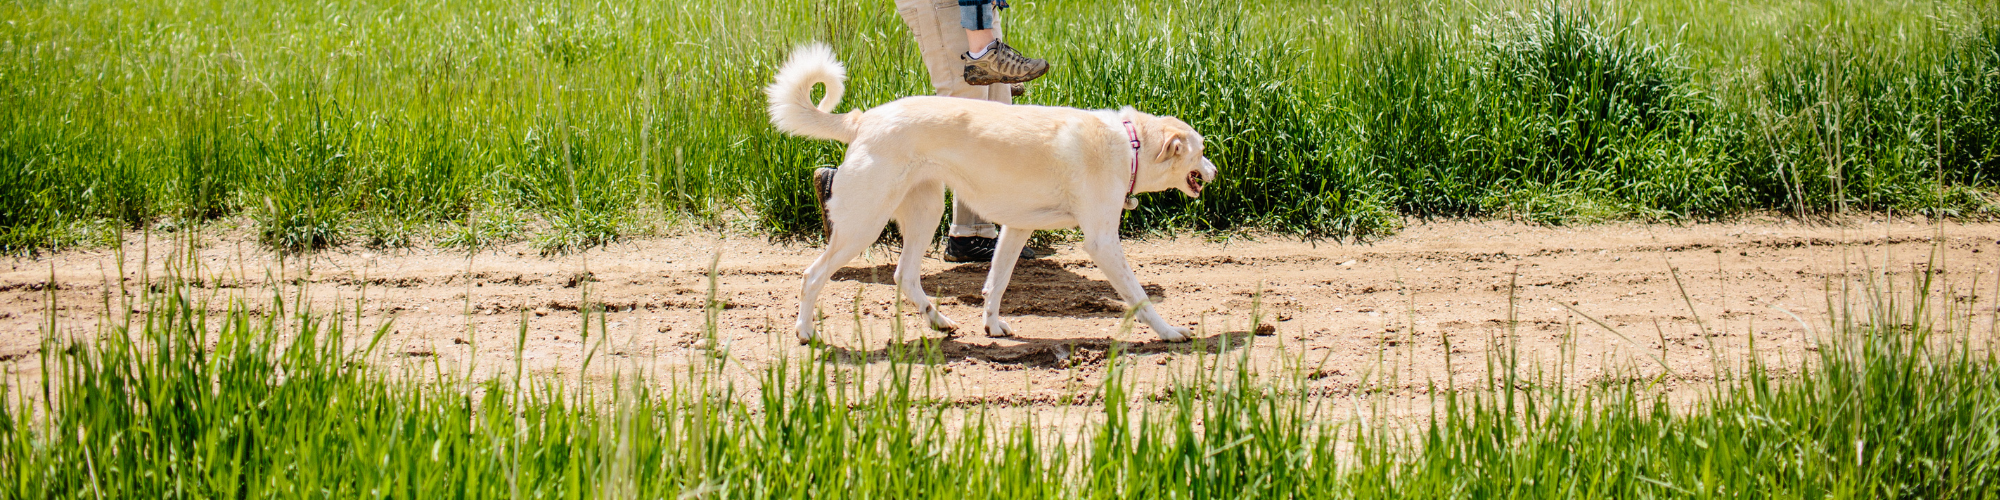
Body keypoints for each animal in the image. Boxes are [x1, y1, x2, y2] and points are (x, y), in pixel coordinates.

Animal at [768, 44, 1216, 344]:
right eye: (1201, 150)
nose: (1214, 171)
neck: (1129, 143)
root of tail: (863, 120)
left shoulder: (1016, 229)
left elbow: (996, 283)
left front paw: (992, 326)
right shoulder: (1102, 242)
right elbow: (1139, 296)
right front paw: (1169, 331)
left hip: (926, 213)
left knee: (904, 275)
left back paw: (938, 321)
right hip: (865, 225)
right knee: (812, 276)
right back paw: (805, 332)